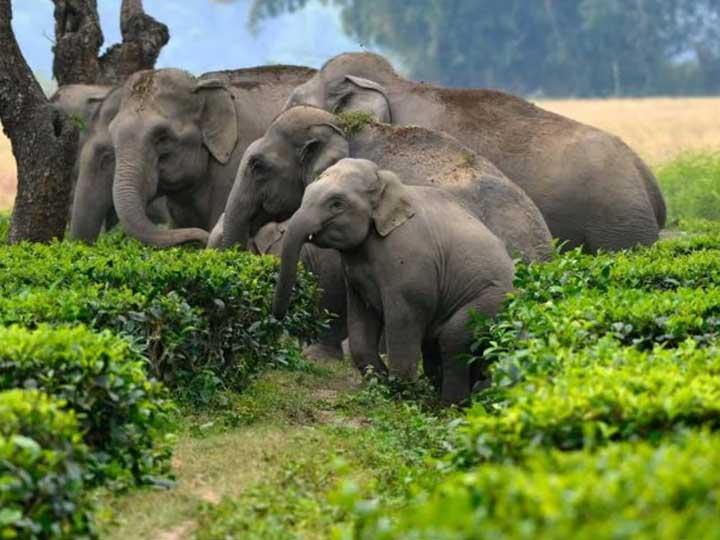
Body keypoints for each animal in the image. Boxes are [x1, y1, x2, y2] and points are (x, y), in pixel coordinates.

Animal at [272, 159, 515, 404]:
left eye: (336, 204)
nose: (278, 316)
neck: (386, 183)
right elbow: (361, 320)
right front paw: (381, 384)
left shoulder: (408, 263)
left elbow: (403, 318)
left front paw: (401, 395)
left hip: (492, 301)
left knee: (452, 338)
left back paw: (451, 405)